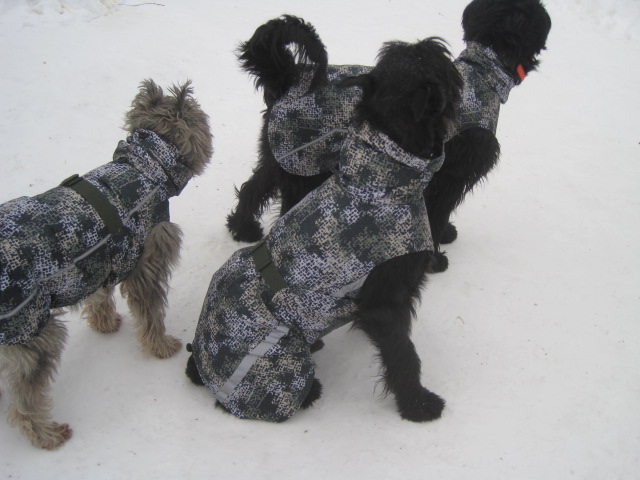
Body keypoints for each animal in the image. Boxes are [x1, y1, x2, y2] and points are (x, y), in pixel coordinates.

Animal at [0, 79, 212, 449]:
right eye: (202, 120)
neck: (143, 166)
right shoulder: (147, 259)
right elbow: (150, 311)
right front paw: (161, 346)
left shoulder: (100, 259)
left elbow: (100, 295)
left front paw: (105, 322)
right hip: (33, 333)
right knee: (24, 403)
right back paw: (47, 434)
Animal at [186, 37, 462, 422]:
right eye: (437, 64)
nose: (436, 42)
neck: (380, 183)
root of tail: (198, 359)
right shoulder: (386, 305)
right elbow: (404, 356)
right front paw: (418, 404)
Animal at [226, 1, 551, 270]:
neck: (486, 73)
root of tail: (288, 75)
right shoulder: (449, 178)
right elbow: (437, 213)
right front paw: (434, 261)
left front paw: (445, 235)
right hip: (303, 169)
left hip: (284, 157)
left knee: (253, 187)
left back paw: (242, 228)